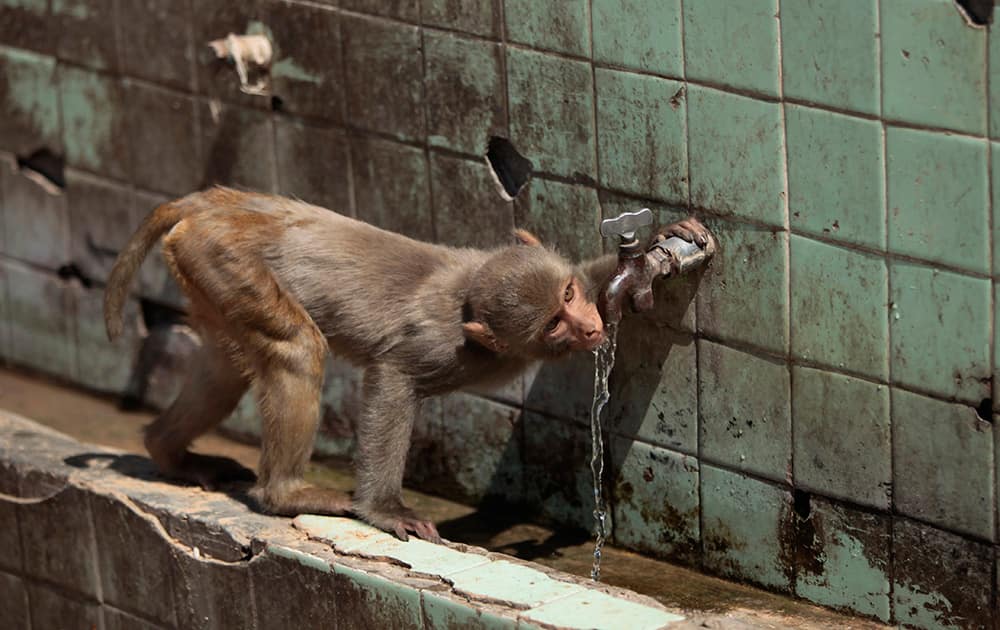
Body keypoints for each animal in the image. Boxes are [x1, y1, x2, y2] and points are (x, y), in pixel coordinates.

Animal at [103, 186, 712, 544]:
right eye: (552, 325)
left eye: (567, 298)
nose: (586, 329)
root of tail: (209, 205)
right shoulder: (442, 348)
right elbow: (392, 380)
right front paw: (384, 509)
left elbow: (597, 279)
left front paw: (663, 244)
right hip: (225, 258)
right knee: (296, 348)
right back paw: (284, 494)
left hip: (205, 268)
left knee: (226, 367)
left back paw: (167, 449)